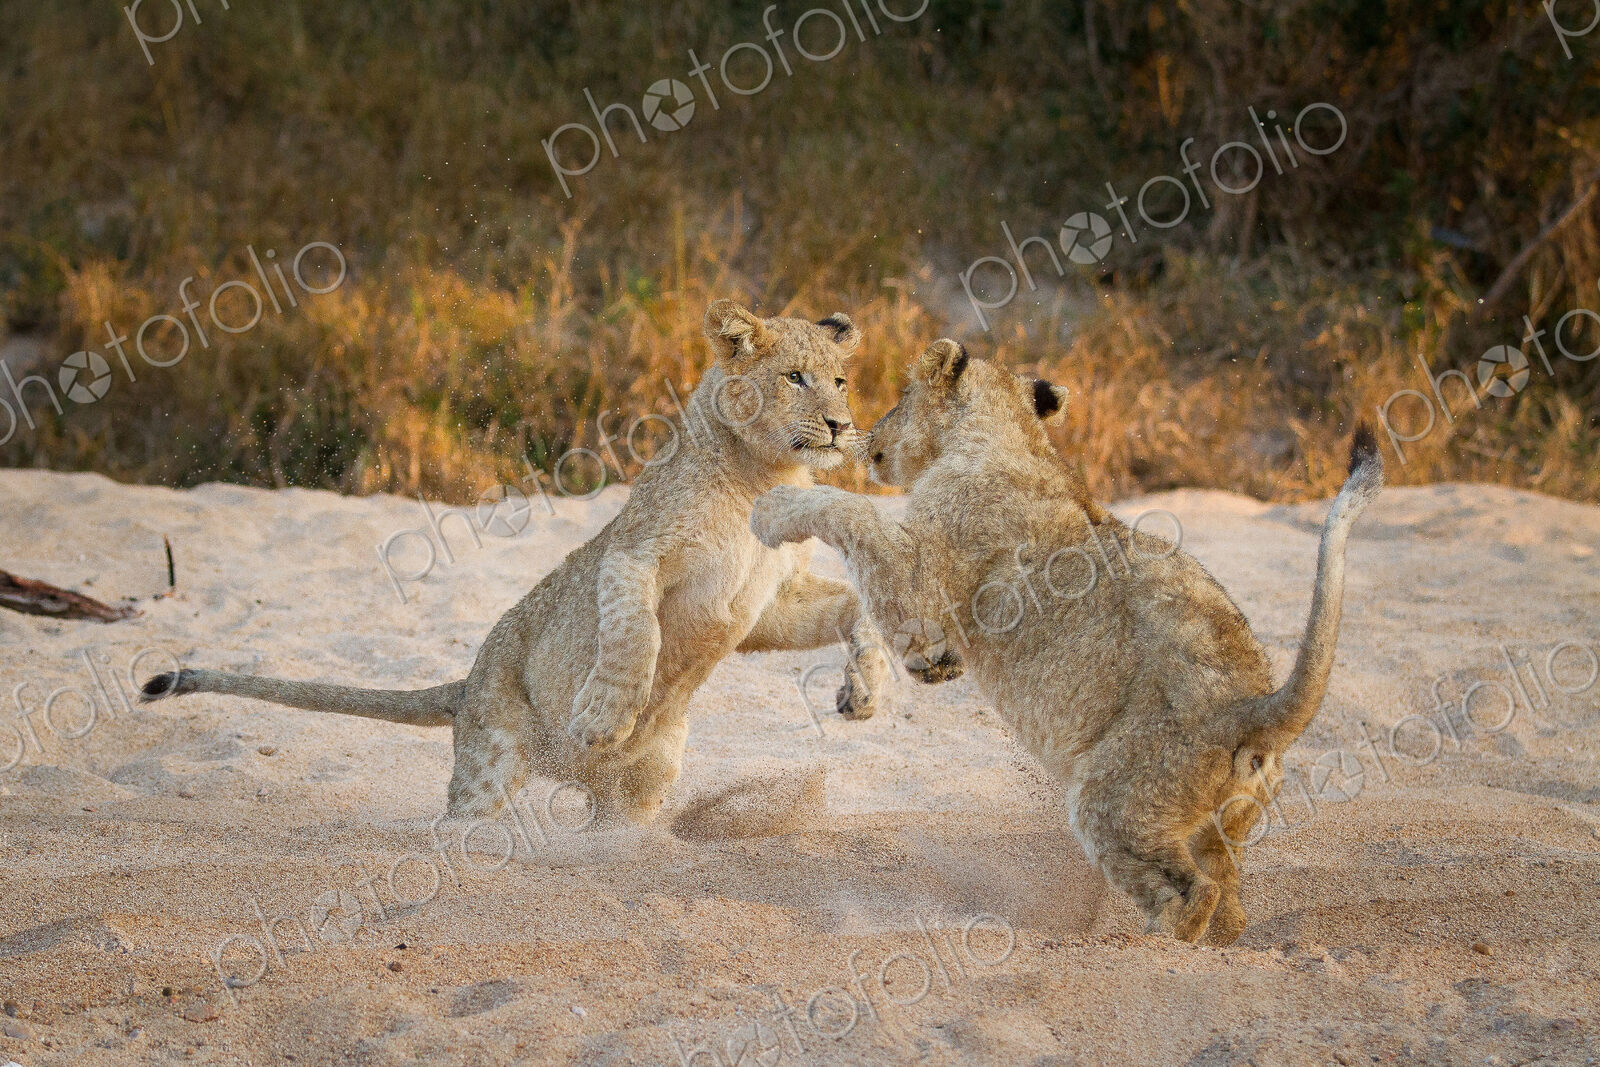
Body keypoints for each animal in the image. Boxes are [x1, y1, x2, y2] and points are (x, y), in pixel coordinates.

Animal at [141, 300, 892, 823]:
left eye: (840, 379)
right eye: (794, 377)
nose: (839, 427)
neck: (764, 477)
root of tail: (467, 682)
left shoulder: (768, 603)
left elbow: (857, 605)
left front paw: (865, 692)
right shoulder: (633, 557)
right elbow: (636, 634)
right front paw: (602, 717)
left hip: (643, 783)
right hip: (491, 760)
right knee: (459, 823)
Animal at [750, 339, 1382, 944]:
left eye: (901, 397)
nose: (866, 434)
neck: (1013, 439)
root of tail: (1253, 706)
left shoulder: (923, 575)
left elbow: (850, 511)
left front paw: (772, 509)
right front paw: (929, 668)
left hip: (1119, 796)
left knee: (1191, 892)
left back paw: (1142, 946)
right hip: (1223, 825)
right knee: (1229, 905)